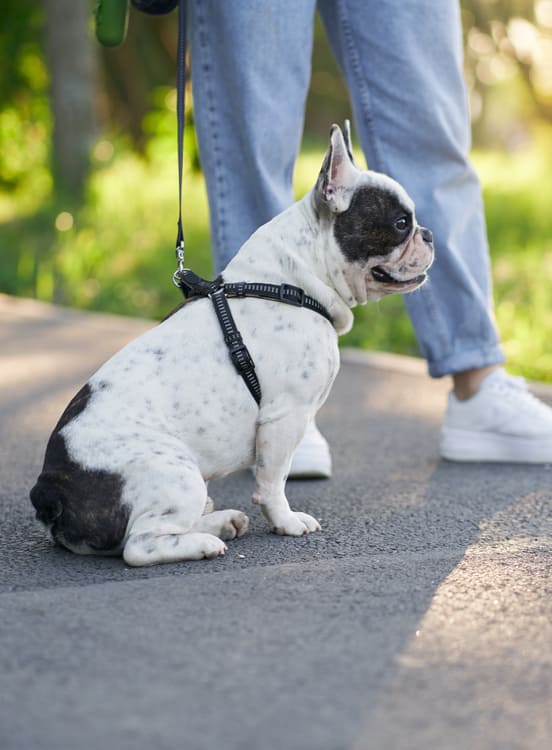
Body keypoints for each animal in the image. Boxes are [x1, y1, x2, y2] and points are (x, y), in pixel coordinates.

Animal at [30, 125, 436, 568]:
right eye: (401, 223)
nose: (429, 234)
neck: (293, 281)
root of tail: (50, 489)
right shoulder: (284, 417)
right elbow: (274, 481)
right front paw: (286, 521)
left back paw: (221, 521)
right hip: (176, 471)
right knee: (139, 545)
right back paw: (205, 542)